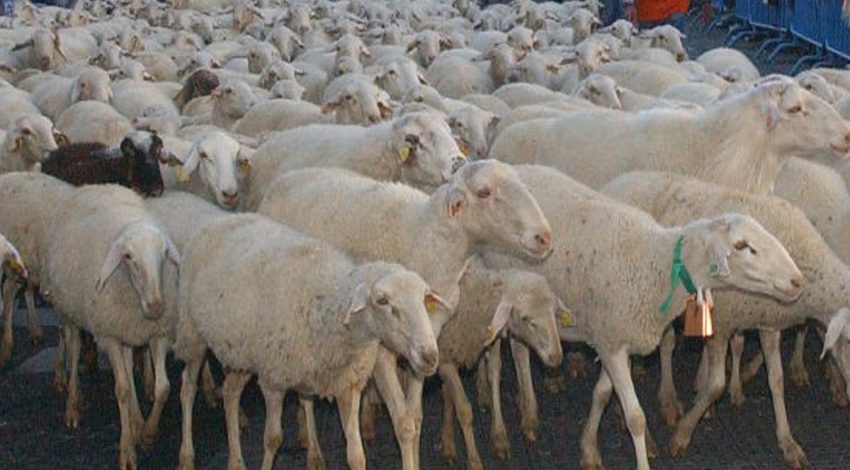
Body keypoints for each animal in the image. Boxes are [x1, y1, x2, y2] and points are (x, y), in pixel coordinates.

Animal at [173, 212, 440, 470]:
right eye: (382, 300)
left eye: (424, 298)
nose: (430, 356)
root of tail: (219, 220)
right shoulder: (273, 380)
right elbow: (273, 439)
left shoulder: (347, 384)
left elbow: (356, 455)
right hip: (192, 334)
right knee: (187, 388)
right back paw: (186, 456)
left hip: (241, 353)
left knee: (230, 392)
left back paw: (235, 462)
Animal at [435, 256, 564, 465]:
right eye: (526, 318)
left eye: (554, 312)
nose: (556, 357)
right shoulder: (444, 356)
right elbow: (463, 409)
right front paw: (474, 460)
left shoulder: (484, 340)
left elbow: (493, 374)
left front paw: (498, 437)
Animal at [481, 164, 804, 470]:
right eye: (742, 246)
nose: (797, 281)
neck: (653, 262)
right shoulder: (611, 344)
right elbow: (635, 417)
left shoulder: (613, 338)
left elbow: (601, 393)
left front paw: (588, 447)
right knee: (503, 360)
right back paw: (511, 425)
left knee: (521, 348)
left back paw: (528, 411)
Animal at [601, 170, 850, 468]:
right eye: (849, 340)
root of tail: (618, 181)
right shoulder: (722, 324)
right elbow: (716, 385)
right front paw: (683, 433)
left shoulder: (768, 322)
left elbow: (776, 381)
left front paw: (788, 442)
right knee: (661, 347)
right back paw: (660, 407)